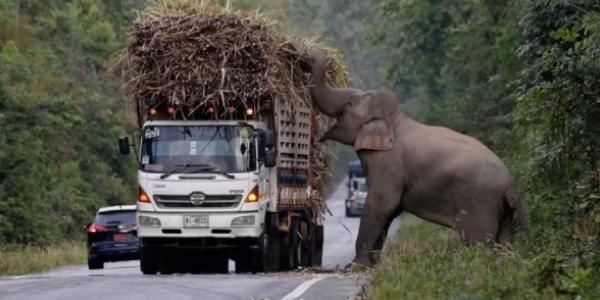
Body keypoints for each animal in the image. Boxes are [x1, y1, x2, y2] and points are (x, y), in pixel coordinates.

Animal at [302, 51, 524, 268]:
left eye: (350, 104)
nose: (310, 55)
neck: (394, 119)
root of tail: (510, 185)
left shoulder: (388, 164)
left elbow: (382, 203)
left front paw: (355, 266)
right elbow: (390, 210)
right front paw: (373, 265)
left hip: (479, 202)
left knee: (479, 243)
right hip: (504, 212)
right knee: (505, 243)